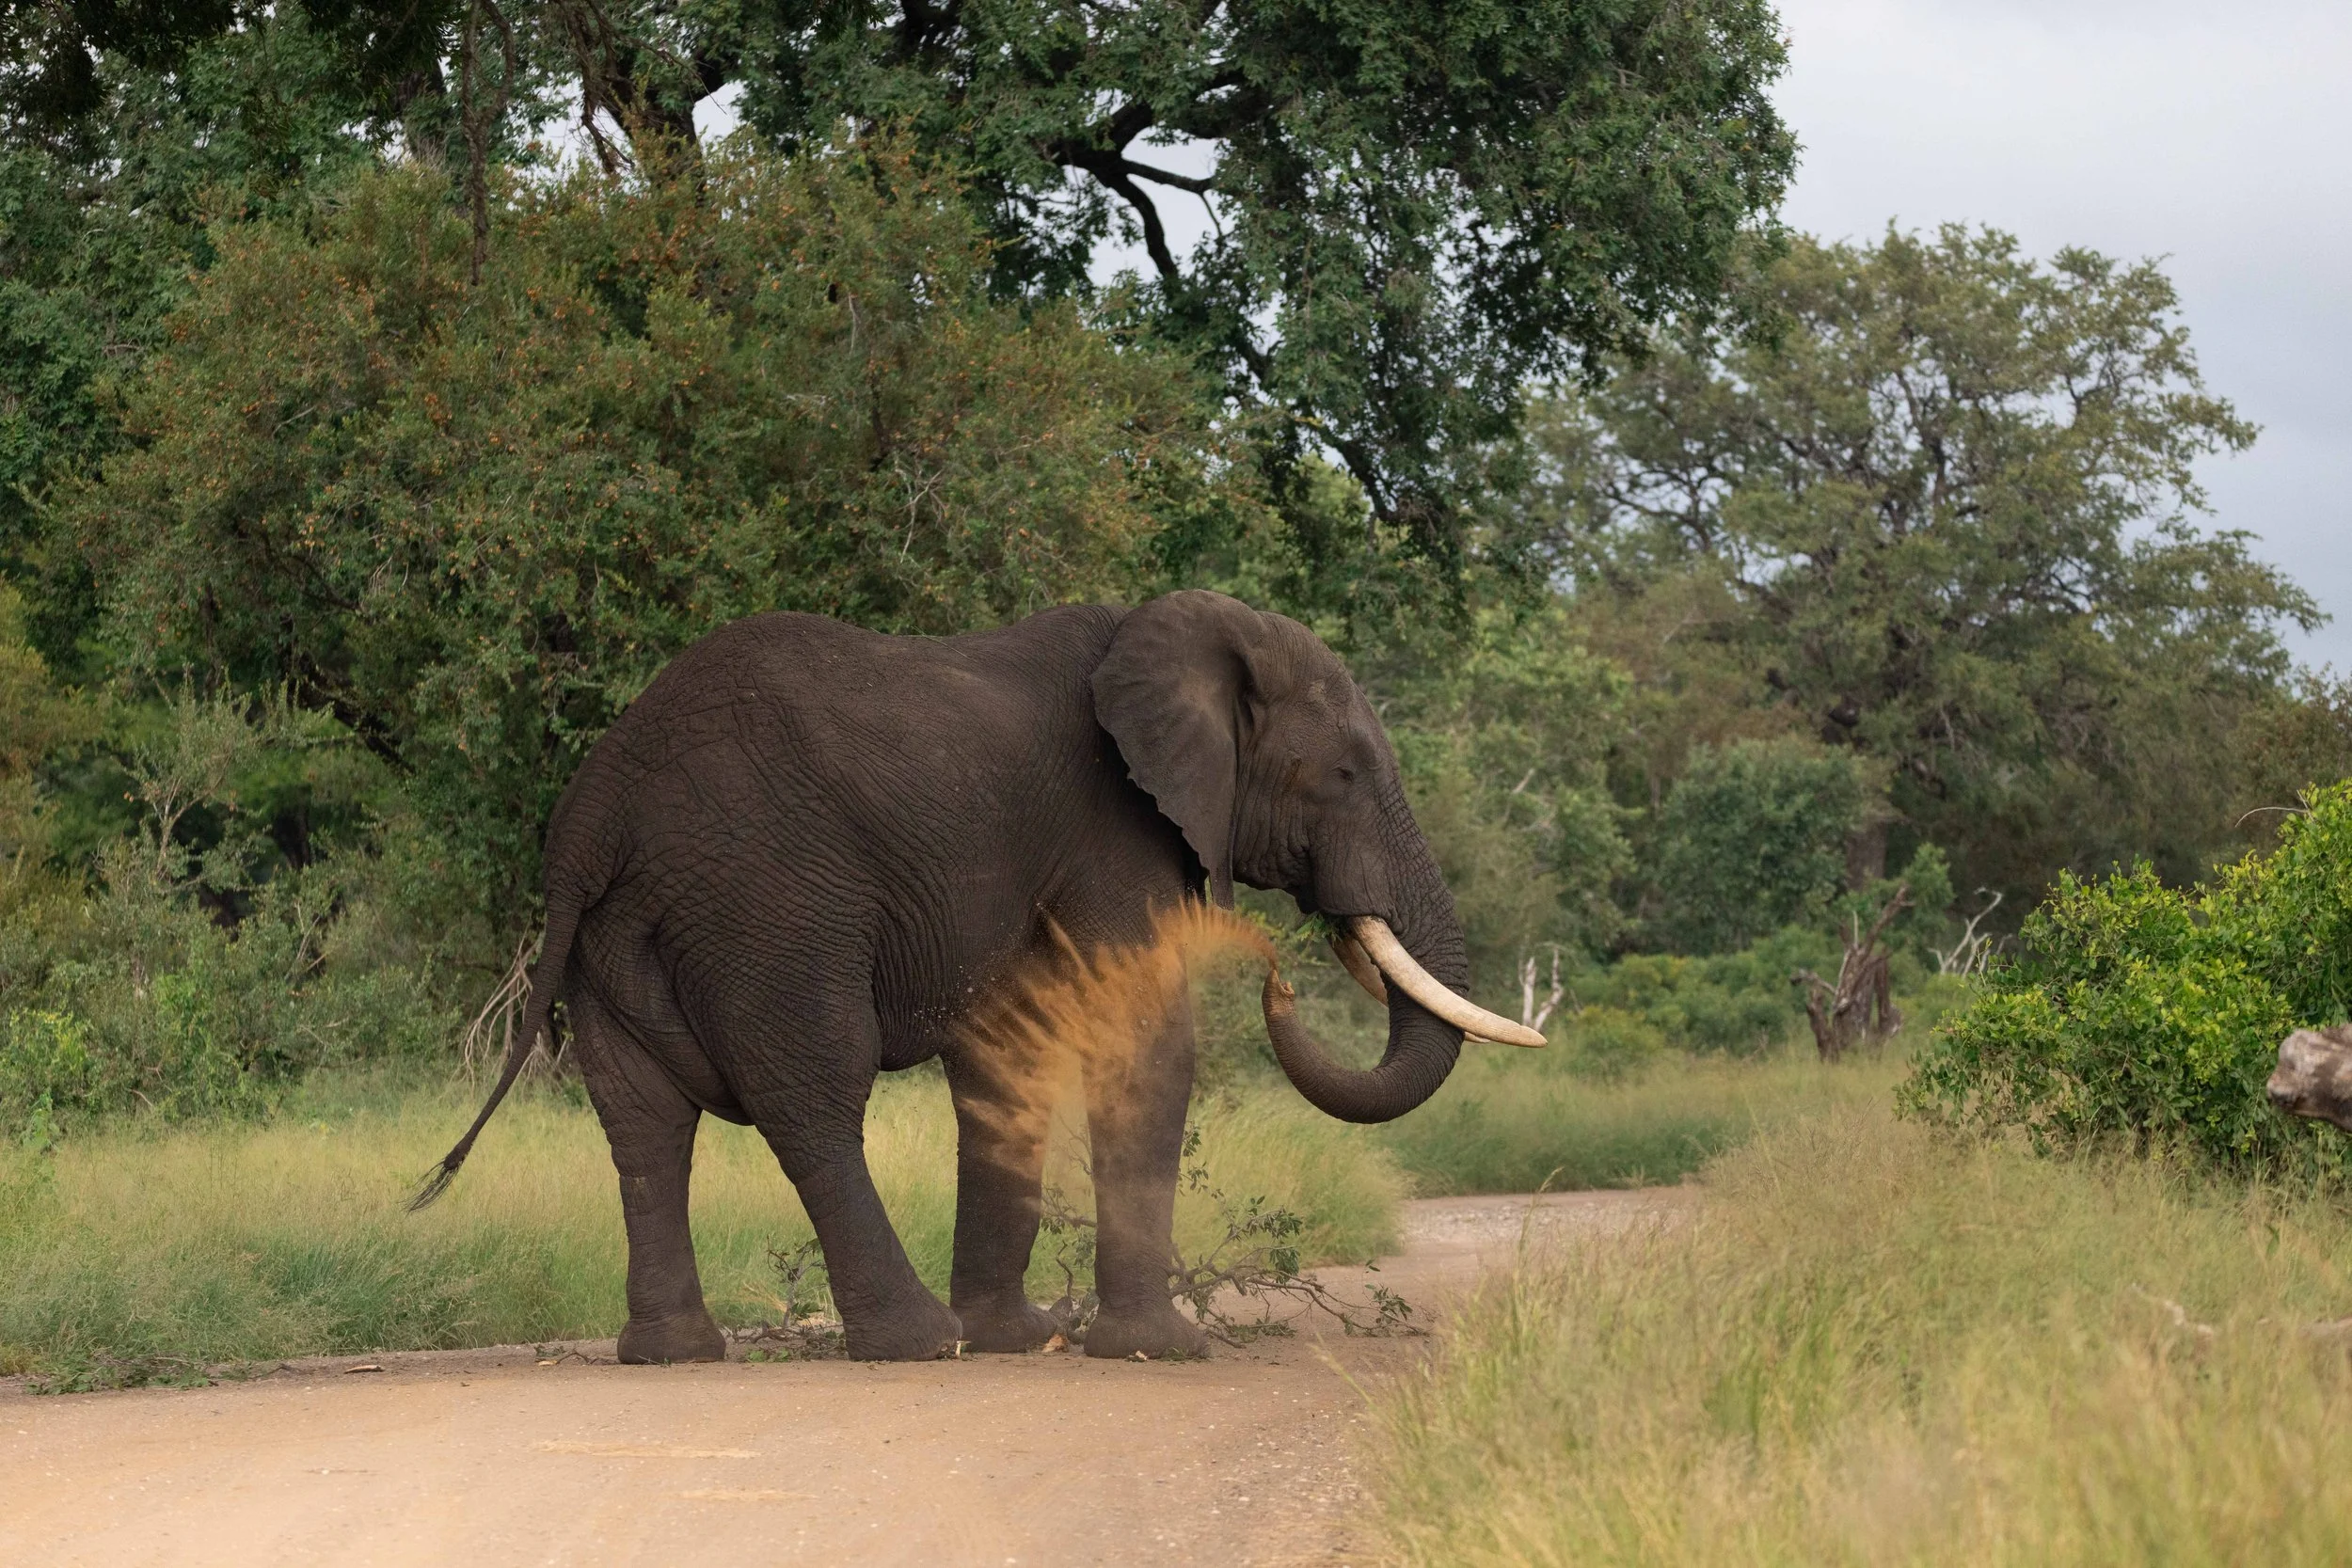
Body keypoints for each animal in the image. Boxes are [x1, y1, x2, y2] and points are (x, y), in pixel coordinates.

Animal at [416, 589, 1540, 1363]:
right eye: (1343, 773)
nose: (1282, 980)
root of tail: (595, 808)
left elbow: (1010, 1050)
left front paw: (1024, 1334)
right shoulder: (1112, 828)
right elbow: (1139, 1033)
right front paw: (1159, 1349)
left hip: (616, 932)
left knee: (643, 1119)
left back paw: (675, 1353)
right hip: (771, 904)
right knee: (814, 1089)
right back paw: (918, 1341)